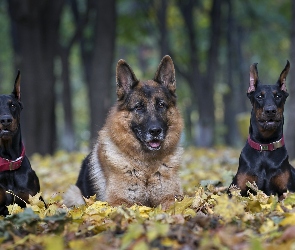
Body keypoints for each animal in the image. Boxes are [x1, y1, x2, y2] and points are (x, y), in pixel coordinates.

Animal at [65, 56, 184, 209]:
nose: (155, 131)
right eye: (138, 107)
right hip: (73, 194)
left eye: (161, 105)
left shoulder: (170, 198)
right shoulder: (120, 202)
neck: (146, 167)